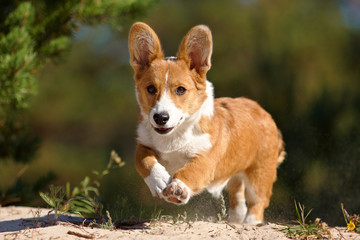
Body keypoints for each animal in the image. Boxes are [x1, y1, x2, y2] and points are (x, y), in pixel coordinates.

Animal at [128, 22, 286, 225]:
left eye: (180, 90)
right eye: (150, 89)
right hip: (236, 178)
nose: (160, 118)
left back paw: (250, 224)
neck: (174, 136)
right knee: (238, 203)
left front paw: (178, 188)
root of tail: (264, 112)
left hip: (259, 175)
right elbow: (143, 160)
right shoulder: (144, 144)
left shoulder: (205, 159)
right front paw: (160, 179)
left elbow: (190, 172)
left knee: (257, 204)